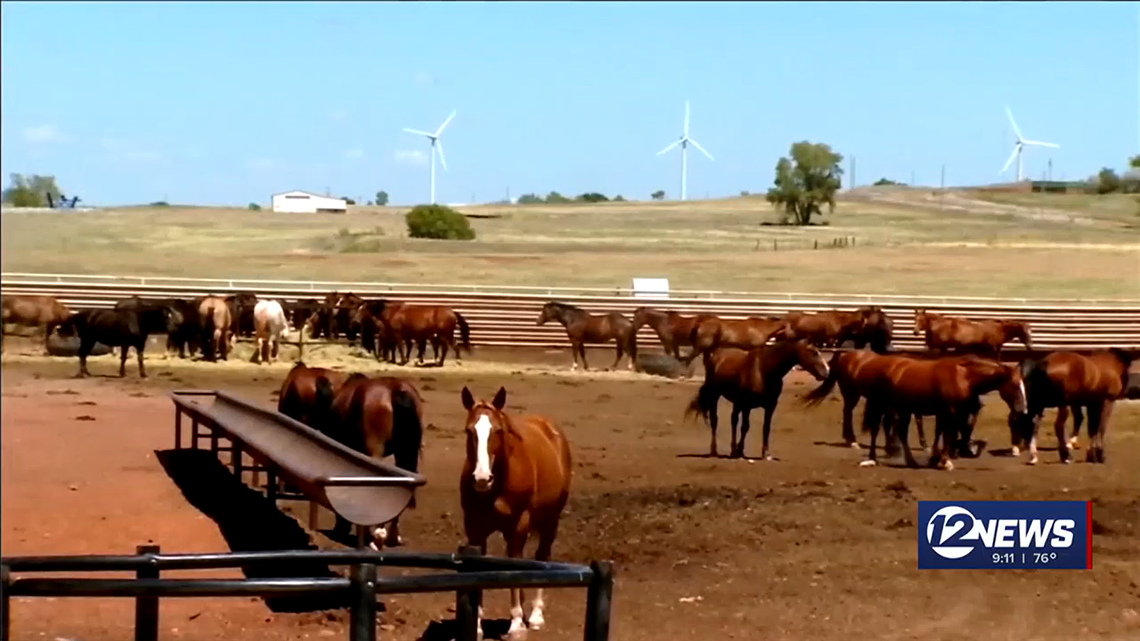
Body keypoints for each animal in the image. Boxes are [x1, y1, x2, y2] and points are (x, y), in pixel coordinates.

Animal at [312, 373, 425, 548]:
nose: (339, 529)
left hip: (376, 453)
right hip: (404, 454)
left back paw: (374, 537)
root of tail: (396, 390)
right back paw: (392, 536)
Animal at [459, 386, 573, 641]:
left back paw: (536, 616)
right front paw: (477, 626)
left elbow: (514, 568)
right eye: (469, 430)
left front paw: (517, 625)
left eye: (497, 430)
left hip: (550, 521)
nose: (482, 478)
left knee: (542, 557)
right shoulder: (475, 531)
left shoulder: (518, 527)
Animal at [684, 339, 831, 460]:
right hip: (716, 396)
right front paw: (740, 451)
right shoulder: (747, 406)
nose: (826, 372)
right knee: (715, 421)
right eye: (814, 353)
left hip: (737, 402)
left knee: (733, 420)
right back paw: (714, 451)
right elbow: (745, 427)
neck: (764, 370)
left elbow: (766, 428)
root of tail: (715, 356)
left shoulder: (770, 406)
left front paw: (766, 454)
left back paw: (732, 449)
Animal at [846, 354, 1027, 470]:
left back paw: (910, 461)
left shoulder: (945, 412)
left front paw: (935, 458)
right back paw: (872, 459)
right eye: (1014, 385)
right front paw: (945, 461)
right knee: (875, 430)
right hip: (880, 405)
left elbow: (940, 433)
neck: (963, 376)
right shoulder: (951, 412)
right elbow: (948, 434)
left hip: (904, 409)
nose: (1023, 409)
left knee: (902, 433)